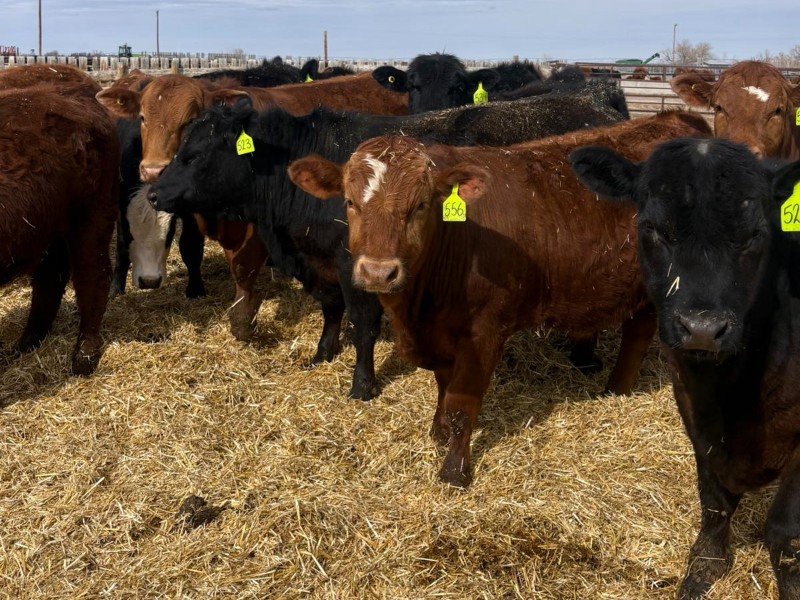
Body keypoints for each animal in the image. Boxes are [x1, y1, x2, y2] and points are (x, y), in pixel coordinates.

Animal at [0, 84, 119, 375]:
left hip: (91, 217)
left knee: (92, 276)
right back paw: (26, 344)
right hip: (47, 228)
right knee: (50, 279)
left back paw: (84, 357)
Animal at [146, 83, 634, 400]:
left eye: (195, 154)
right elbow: (331, 310)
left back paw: (585, 359)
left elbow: (362, 323)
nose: (152, 189)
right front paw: (322, 355)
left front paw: (361, 386)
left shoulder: (359, 264)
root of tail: (596, 100)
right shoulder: (321, 263)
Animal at [284, 110, 712, 487]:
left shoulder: (484, 333)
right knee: (638, 330)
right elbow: (442, 387)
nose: (378, 272)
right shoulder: (441, 335)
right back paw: (616, 390)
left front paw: (454, 471)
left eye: (420, 205)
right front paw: (438, 433)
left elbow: (462, 403)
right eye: (350, 202)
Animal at [569, 137, 800, 599]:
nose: (702, 329)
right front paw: (705, 568)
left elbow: (784, 532)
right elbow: (712, 501)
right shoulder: (694, 414)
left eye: (755, 235)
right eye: (653, 229)